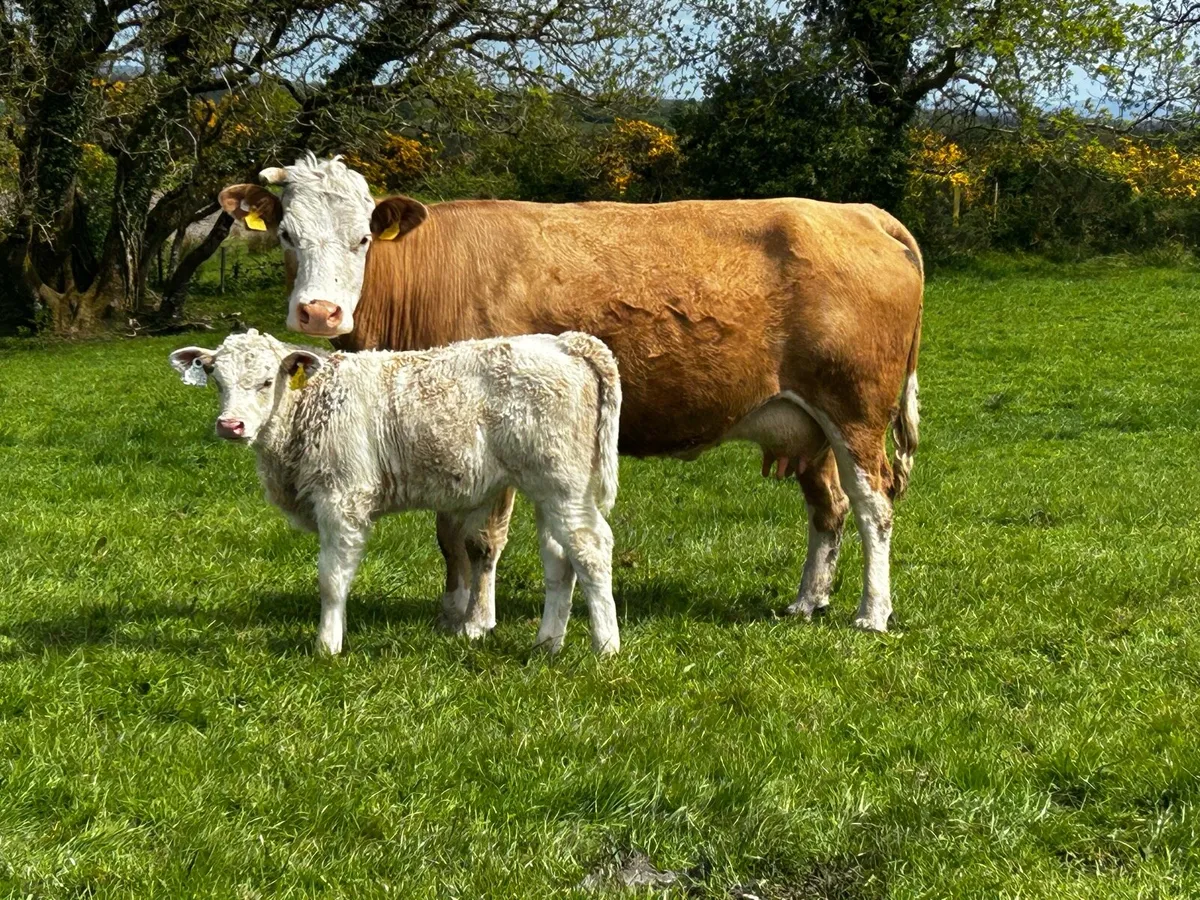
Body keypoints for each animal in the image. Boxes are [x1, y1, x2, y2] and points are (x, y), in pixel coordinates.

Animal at [168, 328, 623, 656]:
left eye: (266, 381)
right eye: (216, 378)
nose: (230, 425)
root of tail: (565, 342)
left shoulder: (343, 499)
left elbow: (331, 578)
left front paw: (326, 646)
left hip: (562, 482)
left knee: (590, 548)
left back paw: (606, 647)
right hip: (550, 489)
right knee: (559, 558)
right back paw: (547, 644)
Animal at [218, 154, 923, 635]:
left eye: (362, 237)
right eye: (286, 236)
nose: (319, 312)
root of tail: (856, 212)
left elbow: (482, 537)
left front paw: (478, 621)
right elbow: (448, 532)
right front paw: (451, 610)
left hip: (855, 410)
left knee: (875, 505)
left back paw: (872, 612)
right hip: (808, 424)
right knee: (829, 509)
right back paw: (808, 599)